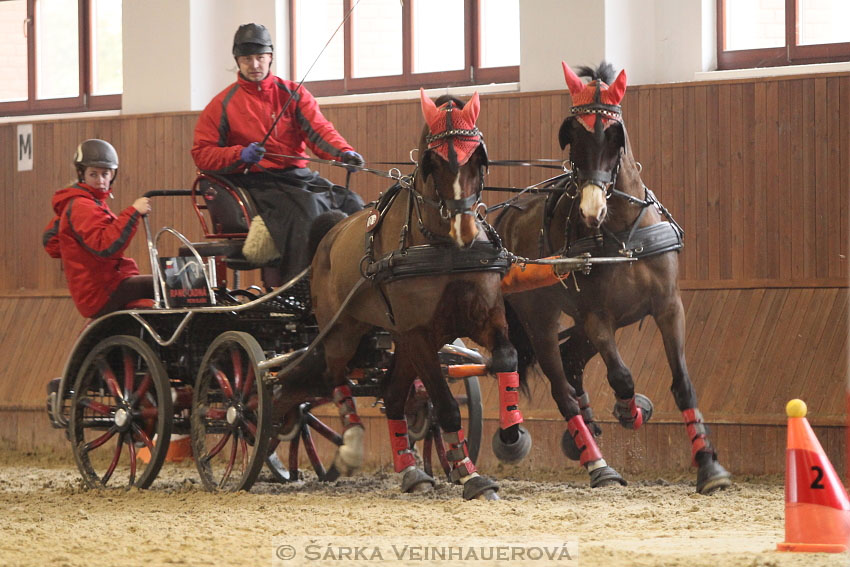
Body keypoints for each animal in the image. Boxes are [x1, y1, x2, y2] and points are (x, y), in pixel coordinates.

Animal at [308, 90, 528, 502]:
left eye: (478, 159)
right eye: (434, 162)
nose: (465, 229)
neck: (443, 246)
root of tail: (328, 235)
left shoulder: (483, 318)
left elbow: (507, 358)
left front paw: (511, 435)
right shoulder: (419, 334)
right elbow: (446, 407)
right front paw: (470, 475)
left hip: (401, 339)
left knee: (393, 395)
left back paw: (411, 471)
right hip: (344, 332)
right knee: (335, 375)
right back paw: (352, 444)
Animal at [496, 62, 728, 494]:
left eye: (614, 137)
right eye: (573, 138)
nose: (591, 211)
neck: (622, 234)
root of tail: (508, 214)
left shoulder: (668, 307)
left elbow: (682, 382)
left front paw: (709, 465)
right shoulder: (597, 318)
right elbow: (621, 376)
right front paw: (629, 409)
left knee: (572, 362)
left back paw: (585, 435)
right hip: (542, 321)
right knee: (563, 388)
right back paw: (597, 462)